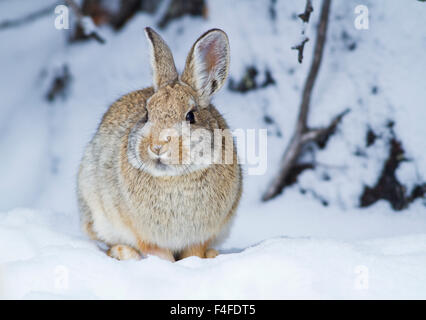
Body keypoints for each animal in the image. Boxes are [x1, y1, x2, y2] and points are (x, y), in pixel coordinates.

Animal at [76, 26, 241, 262]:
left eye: (190, 116)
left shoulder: (199, 238)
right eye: (147, 114)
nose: (157, 147)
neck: (175, 177)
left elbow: (194, 253)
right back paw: (124, 253)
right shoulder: (147, 237)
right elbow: (159, 254)